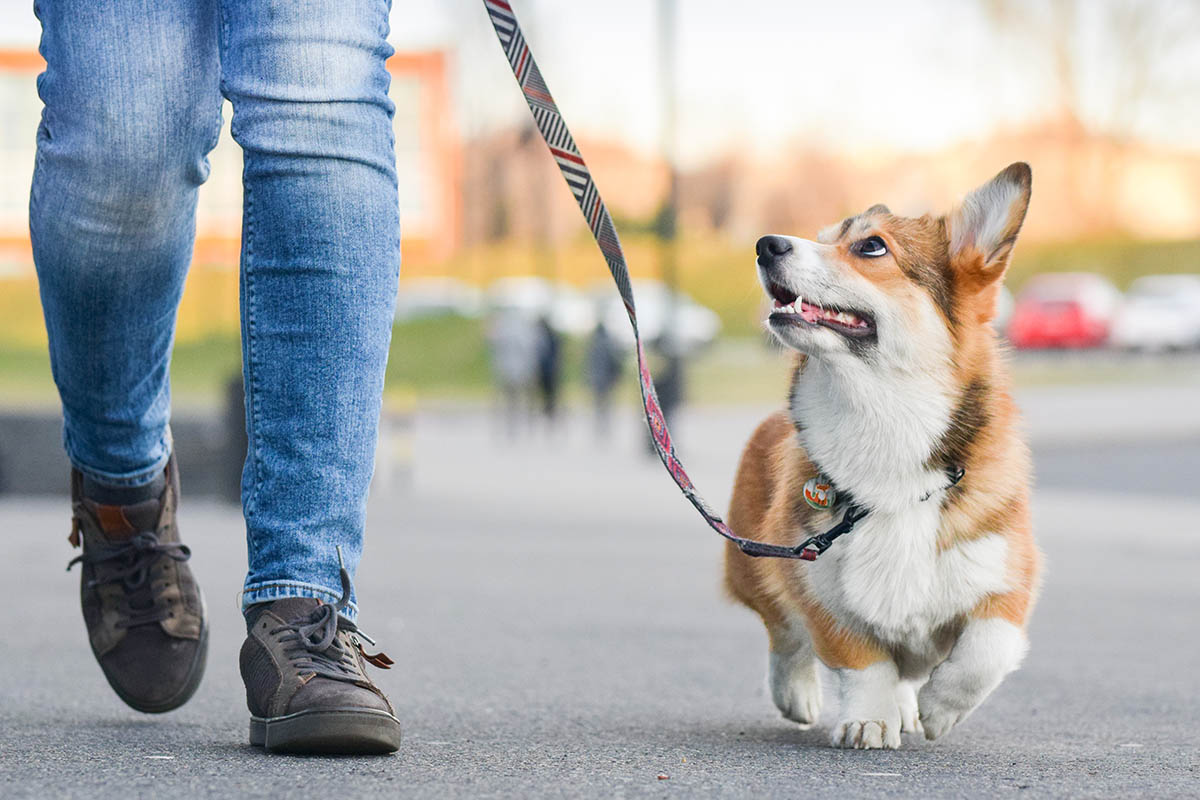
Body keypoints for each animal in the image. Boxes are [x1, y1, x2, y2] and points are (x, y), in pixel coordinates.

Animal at [720, 163, 1041, 753]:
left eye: (871, 246)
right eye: (822, 238)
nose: (765, 244)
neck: (884, 421)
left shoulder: (1008, 577)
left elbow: (987, 650)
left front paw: (939, 709)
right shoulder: (816, 582)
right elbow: (861, 661)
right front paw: (868, 719)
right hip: (754, 563)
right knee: (783, 633)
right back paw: (798, 693)